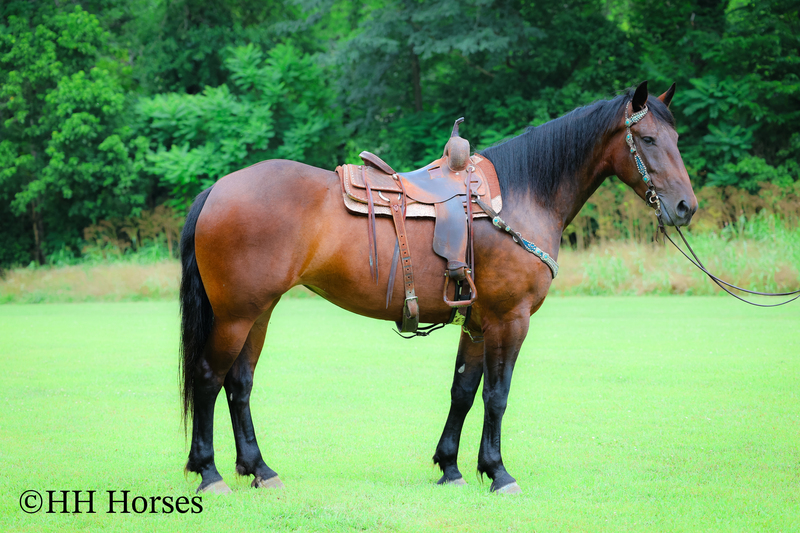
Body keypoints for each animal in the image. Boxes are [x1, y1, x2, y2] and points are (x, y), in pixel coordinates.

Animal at [178, 81, 697, 495]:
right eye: (648, 139)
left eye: (676, 139)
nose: (685, 207)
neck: (523, 195)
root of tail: (218, 189)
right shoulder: (510, 319)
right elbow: (497, 395)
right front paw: (498, 472)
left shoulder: (479, 322)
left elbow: (463, 390)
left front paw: (451, 467)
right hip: (236, 314)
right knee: (208, 378)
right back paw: (210, 473)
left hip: (258, 312)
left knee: (239, 384)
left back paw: (259, 469)